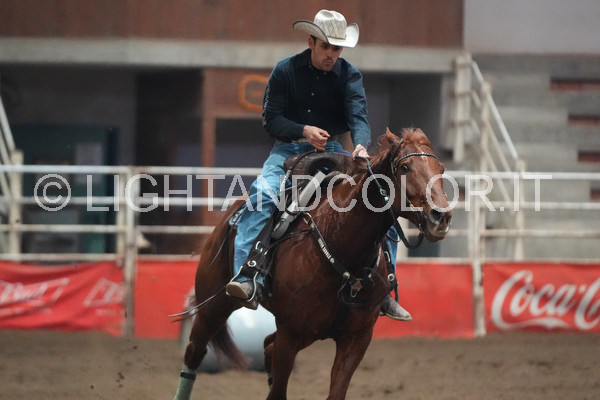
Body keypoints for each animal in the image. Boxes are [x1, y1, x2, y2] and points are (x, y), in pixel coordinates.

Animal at [173, 128, 453, 400]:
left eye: (441, 169)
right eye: (405, 167)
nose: (441, 216)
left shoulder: (356, 340)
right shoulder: (290, 334)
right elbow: (278, 393)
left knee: (267, 345)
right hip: (214, 306)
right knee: (194, 352)